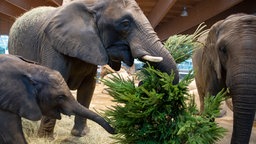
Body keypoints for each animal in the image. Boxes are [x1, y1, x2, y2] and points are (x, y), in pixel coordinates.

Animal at [6, 0, 178, 138]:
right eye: (125, 24)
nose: (142, 83)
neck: (92, 5)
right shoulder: (52, 46)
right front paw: (45, 138)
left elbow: (88, 88)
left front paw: (80, 134)